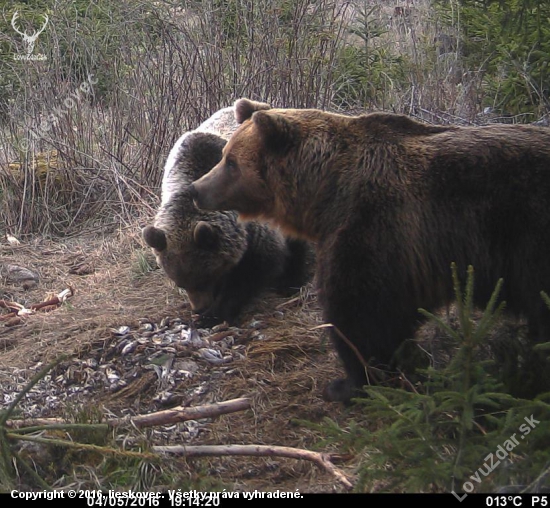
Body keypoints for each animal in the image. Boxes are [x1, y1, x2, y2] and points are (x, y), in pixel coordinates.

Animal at [144, 107, 312, 326]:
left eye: (205, 277)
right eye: (180, 283)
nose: (198, 308)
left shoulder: (254, 227)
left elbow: (254, 268)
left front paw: (213, 314)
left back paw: (291, 279)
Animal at [191, 98, 550, 400]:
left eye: (231, 162)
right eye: (225, 156)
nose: (197, 189)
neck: (326, 192)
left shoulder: (378, 227)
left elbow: (362, 310)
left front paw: (348, 383)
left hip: (529, 238)